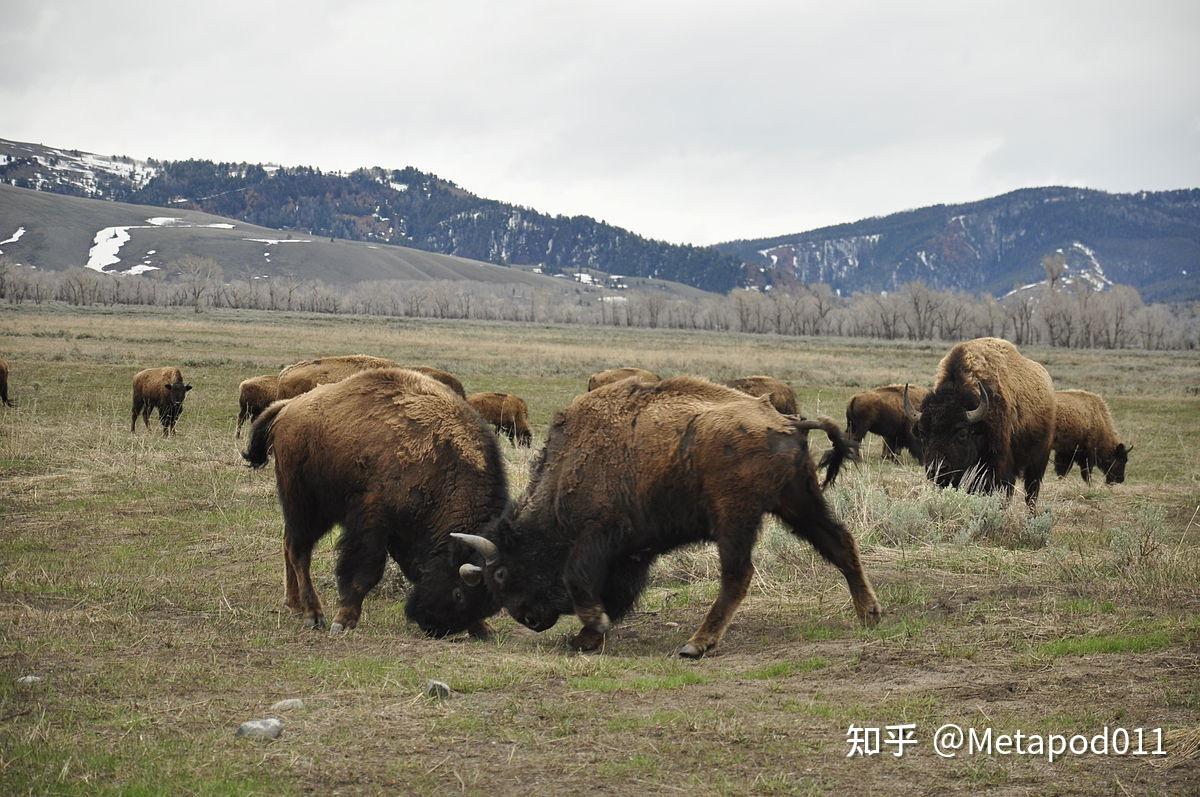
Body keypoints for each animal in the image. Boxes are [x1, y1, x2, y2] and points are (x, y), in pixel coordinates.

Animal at [243, 369, 506, 638]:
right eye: (458, 593)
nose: (434, 627)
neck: (443, 465)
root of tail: (288, 407)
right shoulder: (373, 522)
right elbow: (366, 571)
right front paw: (343, 621)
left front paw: (483, 629)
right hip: (304, 504)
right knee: (299, 552)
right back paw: (314, 615)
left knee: (289, 545)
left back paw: (294, 605)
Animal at [453, 376, 878, 657]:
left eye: (502, 573)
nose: (528, 618)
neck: (570, 466)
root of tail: (788, 421)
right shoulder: (632, 552)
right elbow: (617, 591)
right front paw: (590, 635)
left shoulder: (597, 537)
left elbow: (581, 581)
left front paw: (591, 630)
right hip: (797, 503)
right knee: (840, 544)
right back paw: (870, 614)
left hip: (736, 518)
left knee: (737, 575)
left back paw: (696, 644)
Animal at [902, 338, 1056, 511]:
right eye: (923, 433)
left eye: (962, 433)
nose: (937, 470)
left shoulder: (998, 468)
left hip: (1038, 461)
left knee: (1031, 492)